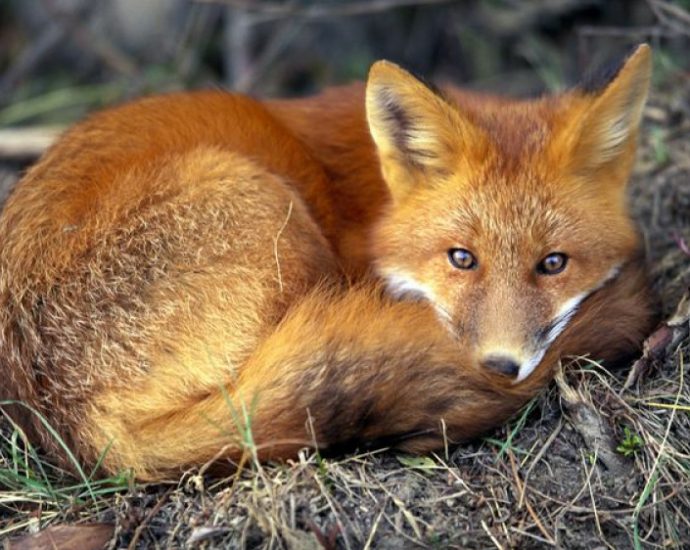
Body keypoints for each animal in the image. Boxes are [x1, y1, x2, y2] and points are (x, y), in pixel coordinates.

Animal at [0, 45, 657, 481]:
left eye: (554, 263)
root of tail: (69, 424)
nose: (500, 367)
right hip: (268, 207)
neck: (375, 199)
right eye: (461, 258)